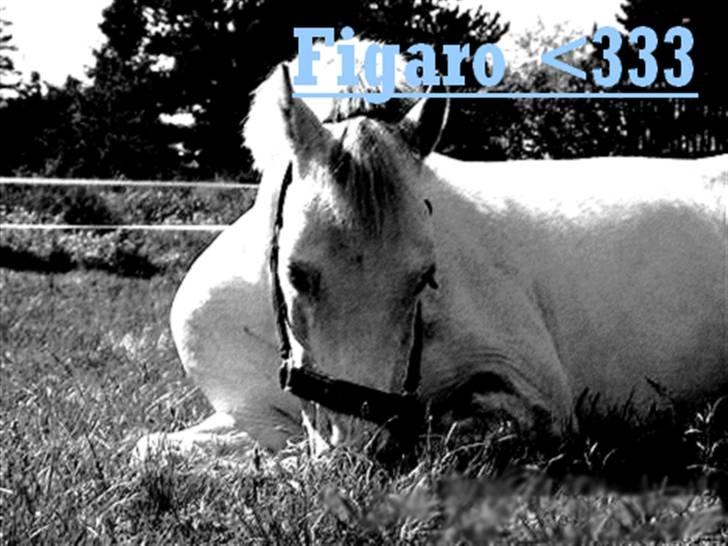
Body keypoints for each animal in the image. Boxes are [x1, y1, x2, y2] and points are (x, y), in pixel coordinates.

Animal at [134, 40, 728, 460]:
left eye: (425, 278)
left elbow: (457, 432)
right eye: (297, 274)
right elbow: (150, 448)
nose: (357, 451)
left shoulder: (539, 395)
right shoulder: (251, 412)